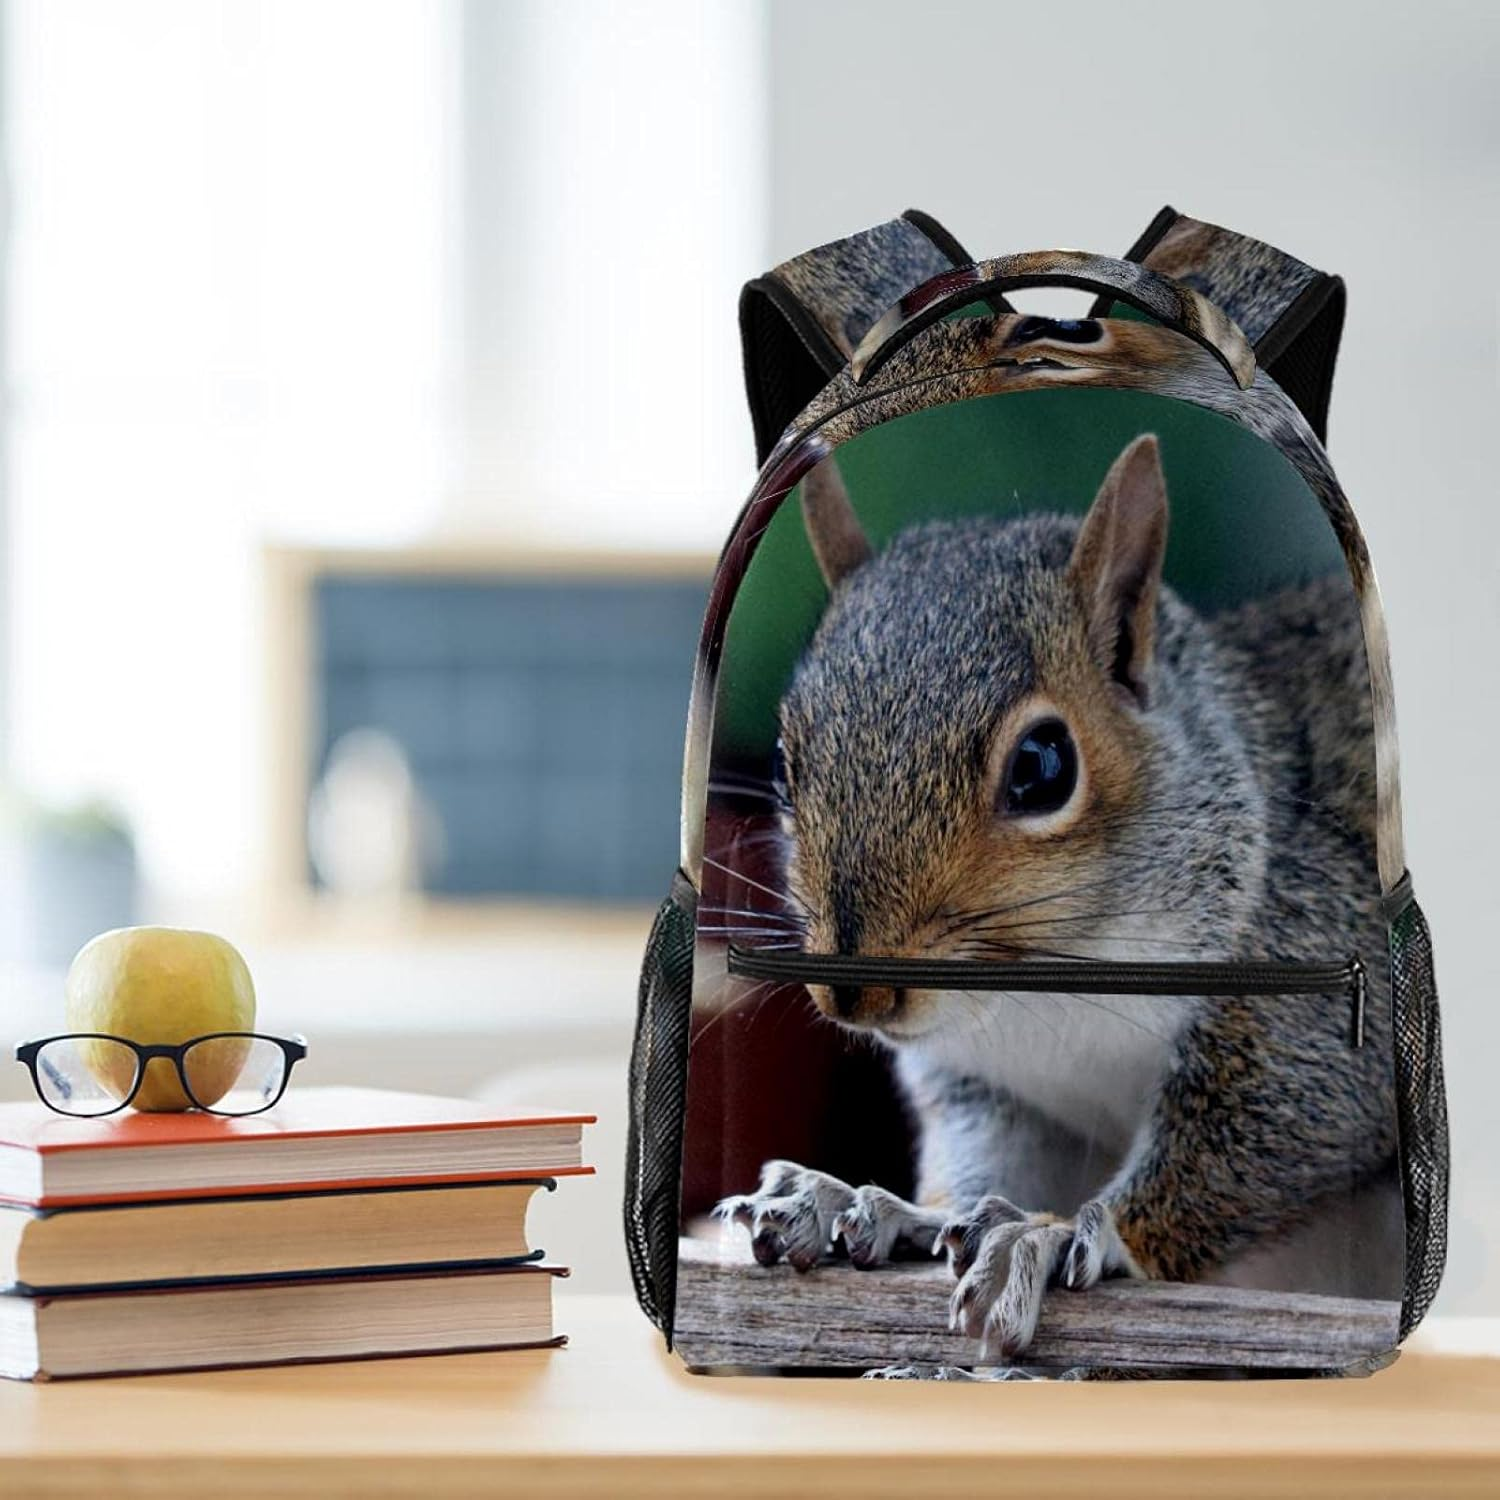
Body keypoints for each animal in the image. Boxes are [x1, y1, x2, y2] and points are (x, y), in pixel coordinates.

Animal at [718, 433, 1400, 1361]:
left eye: (1044, 766)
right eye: (787, 766)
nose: (856, 996)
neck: (1042, 998)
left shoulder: (1306, 982)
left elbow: (1269, 1135)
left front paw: (1051, 1235)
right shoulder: (992, 1085)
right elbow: (983, 1159)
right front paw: (873, 1205)